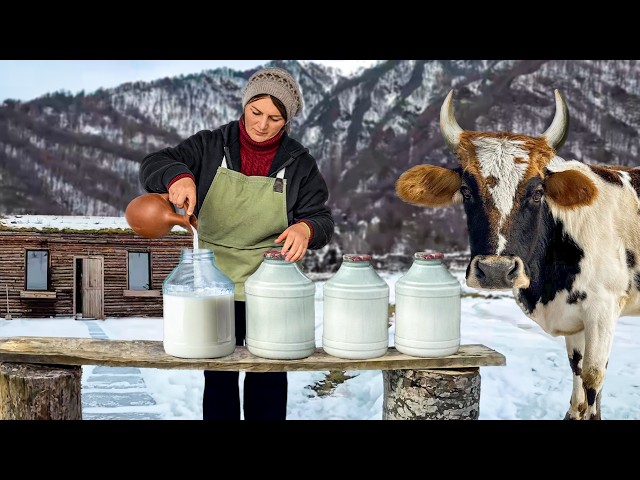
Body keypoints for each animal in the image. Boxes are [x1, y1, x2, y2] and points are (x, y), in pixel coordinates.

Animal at [396, 91, 640, 420]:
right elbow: (578, 395)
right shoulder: (576, 321)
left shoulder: (603, 310)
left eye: (537, 192)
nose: (496, 270)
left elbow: (592, 380)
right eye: (466, 190)